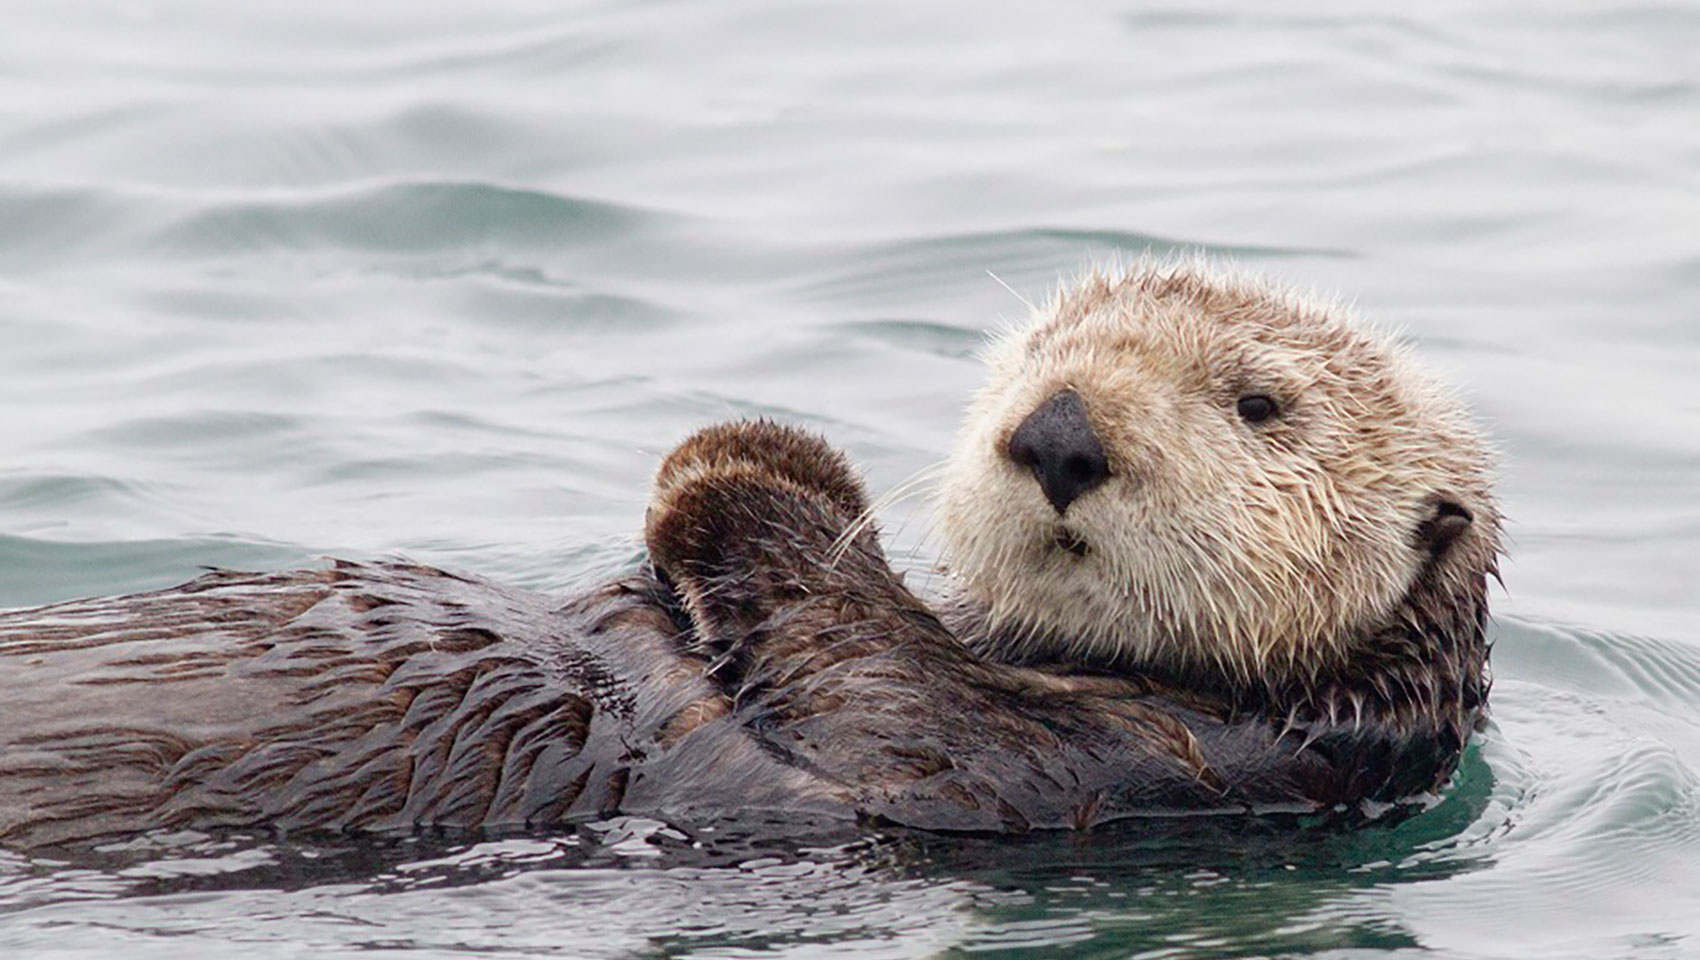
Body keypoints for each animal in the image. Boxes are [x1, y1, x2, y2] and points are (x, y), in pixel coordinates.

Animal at [0, 262, 1500, 848]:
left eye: (1259, 403)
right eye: (1033, 353)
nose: (1058, 431)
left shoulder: (1115, 764)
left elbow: (874, 686)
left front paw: (733, 465)